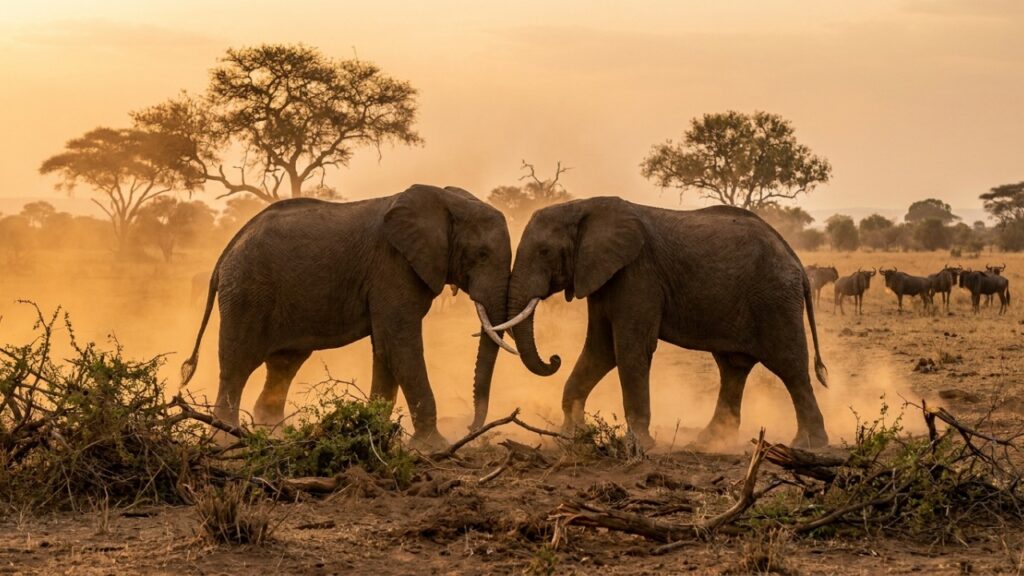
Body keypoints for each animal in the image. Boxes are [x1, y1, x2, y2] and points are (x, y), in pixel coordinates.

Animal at [180, 184, 514, 449]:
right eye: (482, 254)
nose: (471, 428)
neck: (445, 200)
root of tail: (227, 250)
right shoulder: (392, 267)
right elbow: (401, 346)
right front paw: (433, 447)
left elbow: (385, 348)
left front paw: (373, 435)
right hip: (247, 293)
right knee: (238, 365)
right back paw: (227, 440)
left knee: (284, 364)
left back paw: (276, 438)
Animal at [499, 197, 829, 449]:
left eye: (544, 252)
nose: (554, 358)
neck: (583, 206)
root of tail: (796, 260)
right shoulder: (603, 276)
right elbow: (600, 350)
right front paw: (571, 436)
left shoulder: (638, 273)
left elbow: (630, 349)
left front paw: (639, 445)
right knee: (733, 367)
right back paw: (709, 443)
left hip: (775, 299)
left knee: (790, 367)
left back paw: (808, 445)